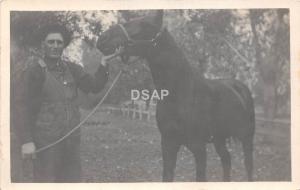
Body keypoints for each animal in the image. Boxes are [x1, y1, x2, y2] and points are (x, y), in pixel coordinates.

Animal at [96, 10, 255, 181]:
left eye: (144, 24)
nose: (102, 39)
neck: (179, 94)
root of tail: (240, 86)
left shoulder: (198, 147)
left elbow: (200, 177)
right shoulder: (168, 144)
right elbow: (167, 175)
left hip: (246, 137)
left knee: (248, 165)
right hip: (219, 138)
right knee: (226, 159)